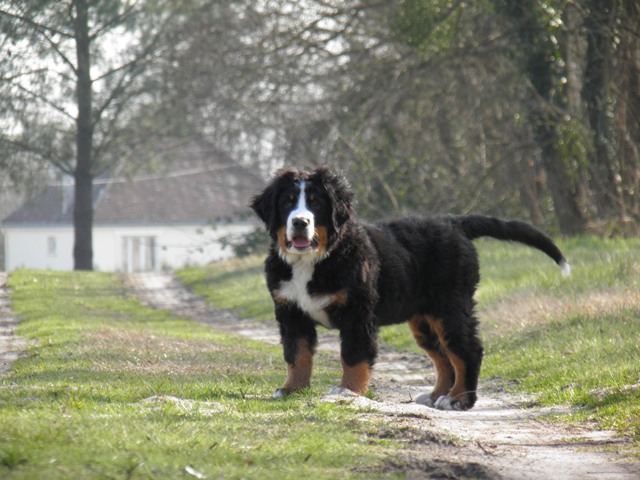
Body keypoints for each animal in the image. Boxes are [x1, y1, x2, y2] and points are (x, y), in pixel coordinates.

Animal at [250, 167, 568, 410]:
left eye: (316, 204)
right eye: (288, 203)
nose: (300, 222)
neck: (314, 260)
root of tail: (453, 221)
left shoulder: (357, 314)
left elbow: (353, 356)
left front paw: (348, 392)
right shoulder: (291, 312)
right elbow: (297, 355)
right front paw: (291, 390)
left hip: (450, 307)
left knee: (467, 351)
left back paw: (459, 400)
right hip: (425, 319)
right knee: (443, 357)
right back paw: (438, 394)